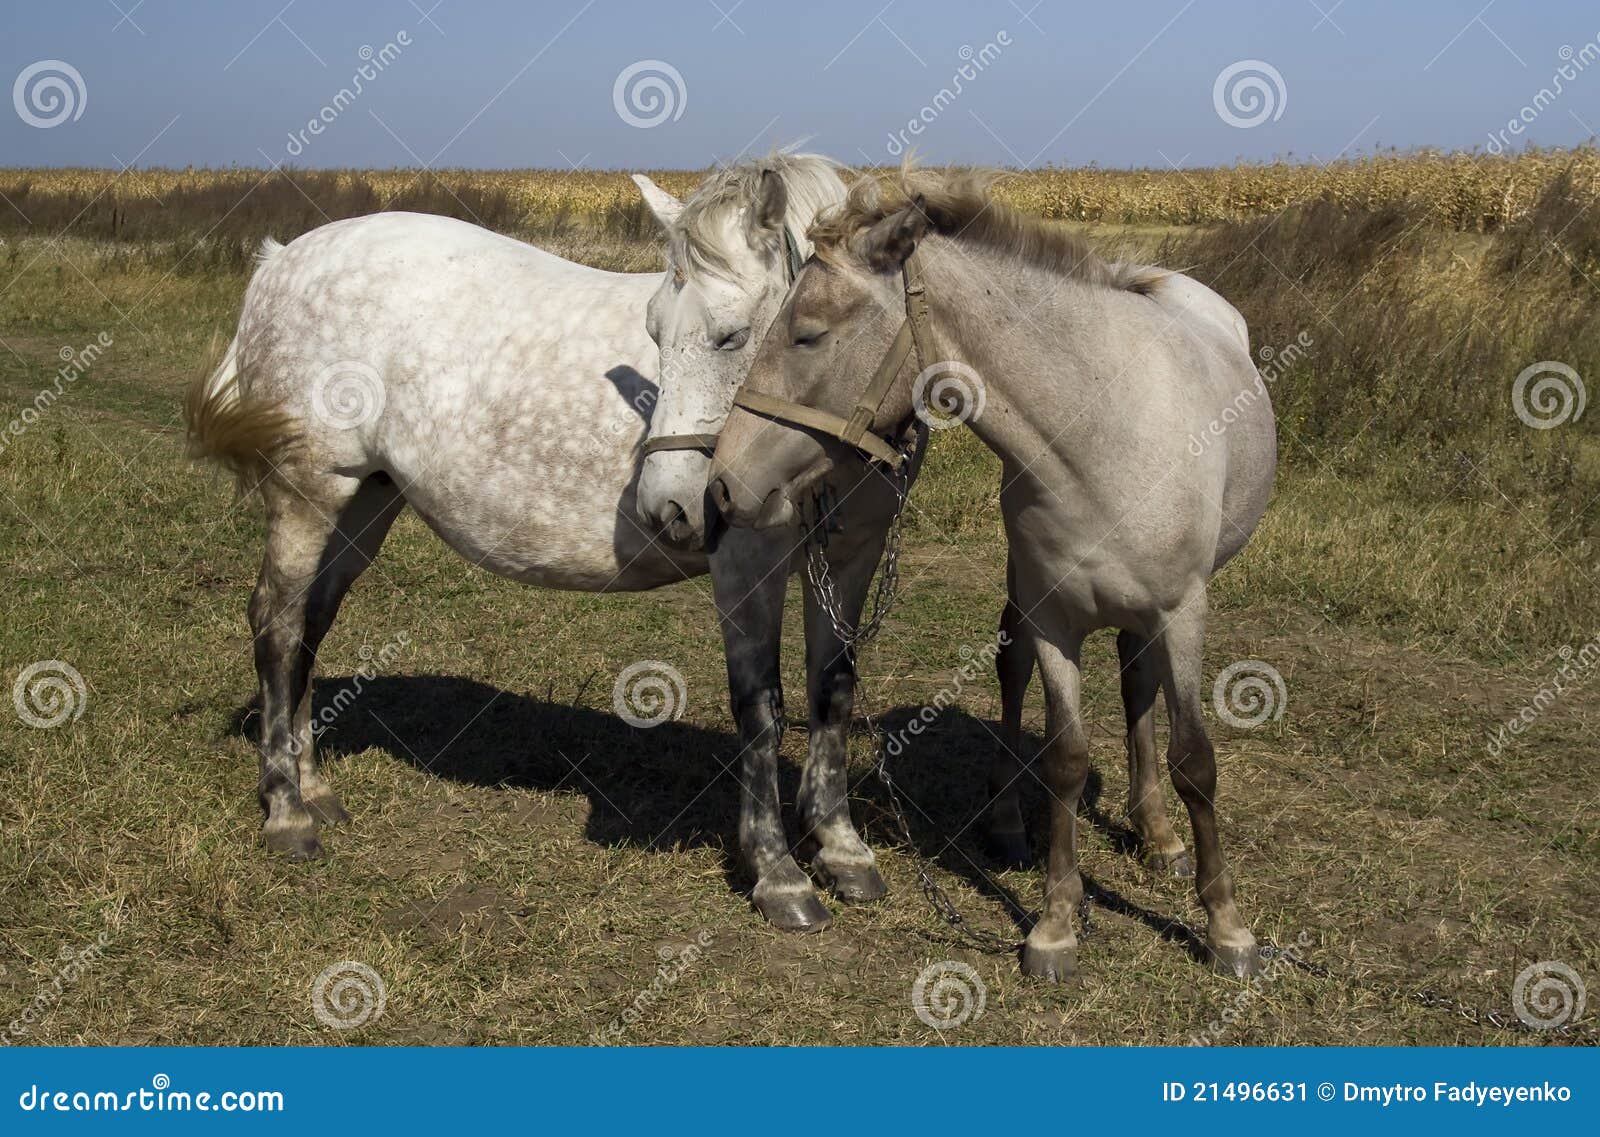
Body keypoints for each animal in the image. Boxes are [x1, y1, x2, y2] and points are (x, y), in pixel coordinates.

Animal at [184, 153, 886, 931]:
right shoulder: (747, 561)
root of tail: (280, 261)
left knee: (309, 625)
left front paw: (842, 849)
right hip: (309, 489)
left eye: (732, 336)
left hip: (363, 501)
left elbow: (833, 690)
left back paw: (313, 788)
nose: (673, 503)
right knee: (277, 627)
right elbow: (761, 706)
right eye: (658, 332)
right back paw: (286, 812)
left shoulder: (850, 557)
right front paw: (778, 874)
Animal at [706, 168, 1277, 980]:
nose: (723, 487)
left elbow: (1195, 760)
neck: (1104, 428)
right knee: (1024, 672)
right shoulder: (1054, 613)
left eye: (809, 332)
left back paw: (1158, 833)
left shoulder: (1182, 611)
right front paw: (1056, 926)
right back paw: (1014, 823)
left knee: (1139, 684)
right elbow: (1065, 758)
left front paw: (1227, 929)